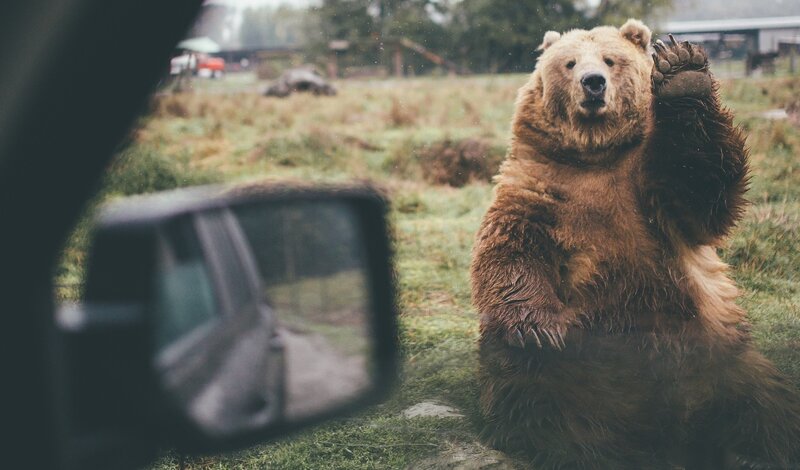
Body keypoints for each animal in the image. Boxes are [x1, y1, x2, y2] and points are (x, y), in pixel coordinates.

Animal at [470, 19, 800, 469]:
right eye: (570, 63)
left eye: (611, 59)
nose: (593, 83)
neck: (594, 154)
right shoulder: (540, 187)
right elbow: (511, 249)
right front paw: (538, 328)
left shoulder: (650, 190)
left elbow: (700, 187)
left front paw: (683, 72)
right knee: (533, 390)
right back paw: (572, 445)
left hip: (724, 357)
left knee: (763, 406)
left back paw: (754, 453)